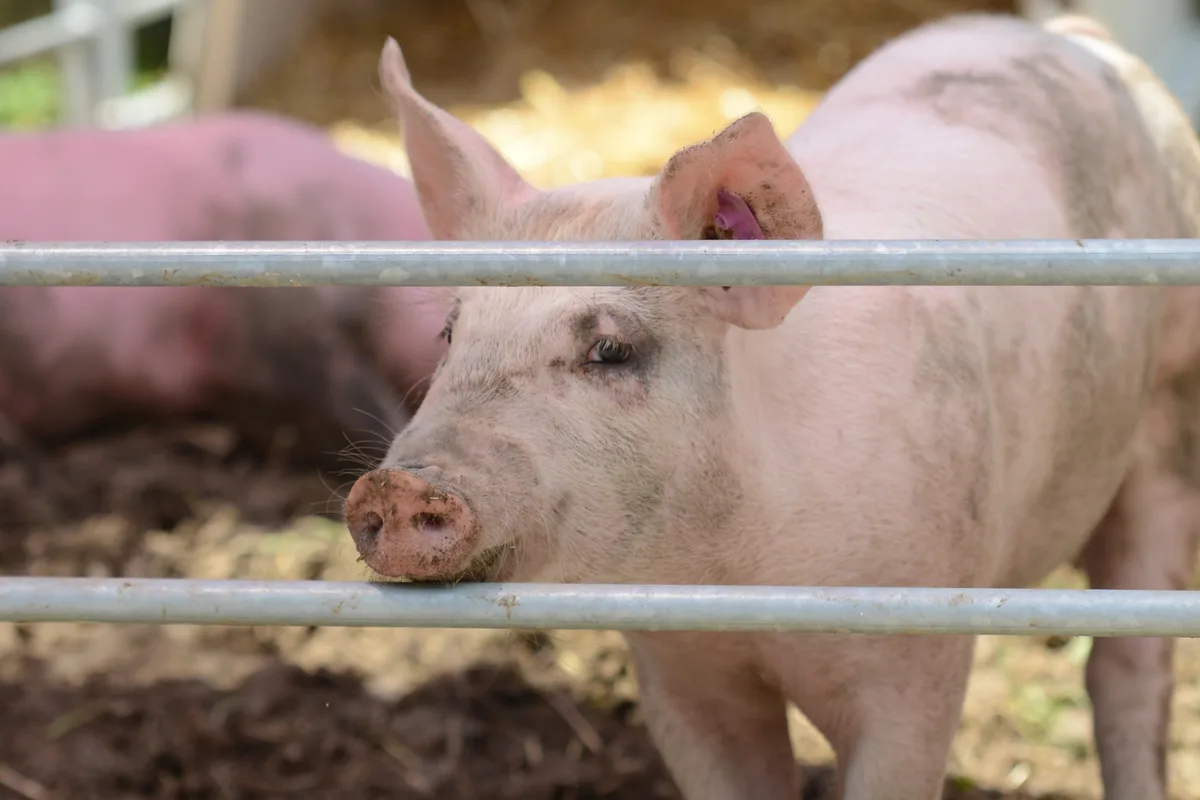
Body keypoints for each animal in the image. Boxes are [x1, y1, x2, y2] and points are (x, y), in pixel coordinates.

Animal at [343, 12, 1197, 800]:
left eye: (610, 348)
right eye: (451, 333)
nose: (398, 483)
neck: (743, 575)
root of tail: (1072, 33)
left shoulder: (917, 654)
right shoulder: (679, 673)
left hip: (1168, 418)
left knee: (1129, 669)